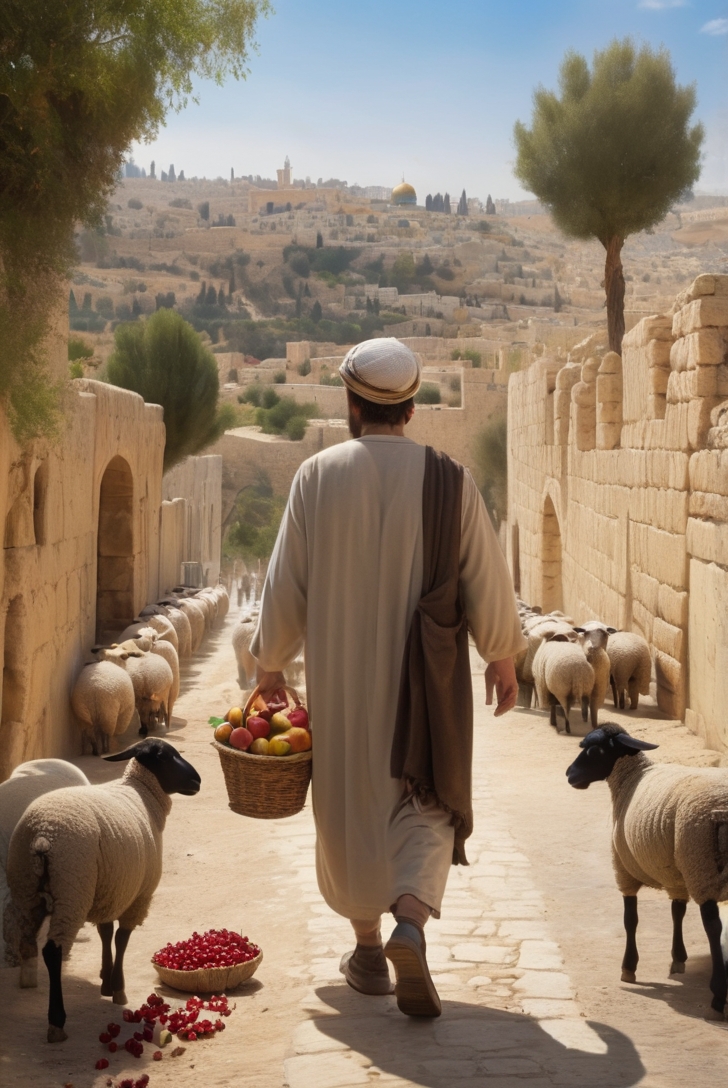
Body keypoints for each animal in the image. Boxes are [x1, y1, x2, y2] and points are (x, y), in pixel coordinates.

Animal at [565, 722, 726, 1018]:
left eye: (595, 749)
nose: (570, 775)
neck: (633, 776)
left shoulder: (623, 869)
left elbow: (631, 919)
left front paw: (628, 967)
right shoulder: (675, 873)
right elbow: (677, 912)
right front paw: (678, 959)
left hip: (700, 865)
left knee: (713, 926)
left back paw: (718, 996)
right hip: (697, 866)